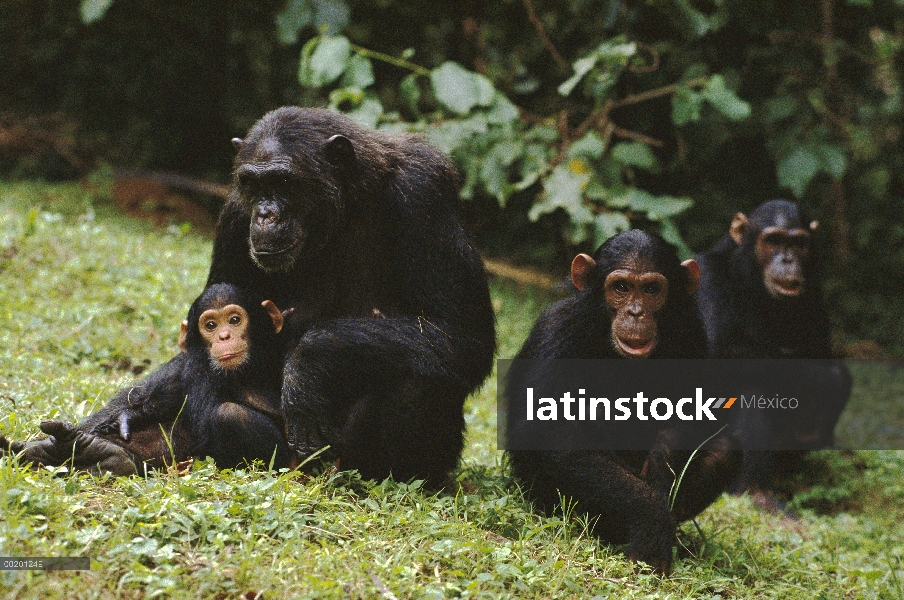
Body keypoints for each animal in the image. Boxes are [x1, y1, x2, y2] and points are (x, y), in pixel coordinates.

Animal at [0, 282, 290, 474]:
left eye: (235, 320)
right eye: (211, 325)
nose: (224, 336)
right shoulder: (184, 365)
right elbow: (144, 399)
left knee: (230, 414)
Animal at [78, 106, 498, 482]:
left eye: (282, 182)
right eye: (253, 184)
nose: (265, 215)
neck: (343, 207)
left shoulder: (424, 194)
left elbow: (461, 334)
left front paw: (306, 367)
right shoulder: (234, 215)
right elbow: (201, 345)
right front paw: (126, 412)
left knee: (420, 372)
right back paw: (104, 452)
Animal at [508, 230, 740, 572]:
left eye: (652, 289)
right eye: (621, 288)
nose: (635, 312)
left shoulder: (694, 334)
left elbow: (698, 415)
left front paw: (661, 467)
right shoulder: (556, 329)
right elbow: (547, 432)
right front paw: (651, 516)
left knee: (724, 451)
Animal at [696, 199, 852, 494]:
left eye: (798, 243)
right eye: (773, 240)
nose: (787, 259)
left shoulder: (813, 296)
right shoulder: (704, 275)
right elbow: (714, 349)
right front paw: (831, 379)